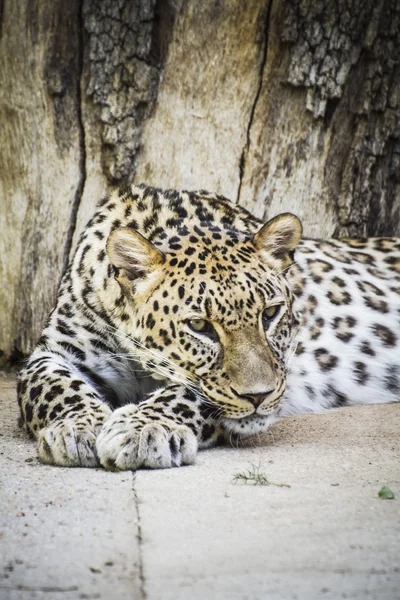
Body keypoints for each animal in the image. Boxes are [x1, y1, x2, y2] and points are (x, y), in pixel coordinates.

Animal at [18, 183, 400, 468]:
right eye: (200, 326)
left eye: (270, 314)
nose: (259, 396)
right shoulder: (54, 351)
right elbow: (51, 385)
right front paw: (76, 428)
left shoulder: (284, 369)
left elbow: (189, 392)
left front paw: (144, 429)